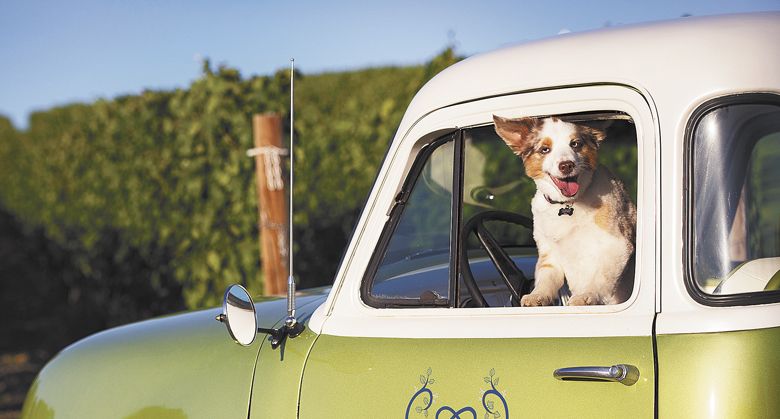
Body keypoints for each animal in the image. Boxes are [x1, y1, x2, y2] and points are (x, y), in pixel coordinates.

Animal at [496, 116, 636, 306]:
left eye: (575, 144)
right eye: (545, 149)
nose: (566, 165)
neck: (568, 204)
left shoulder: (617, 244)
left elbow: (601, 276)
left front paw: (587, 295)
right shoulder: (549, 252)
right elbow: (545, 277)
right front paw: (537, 295)